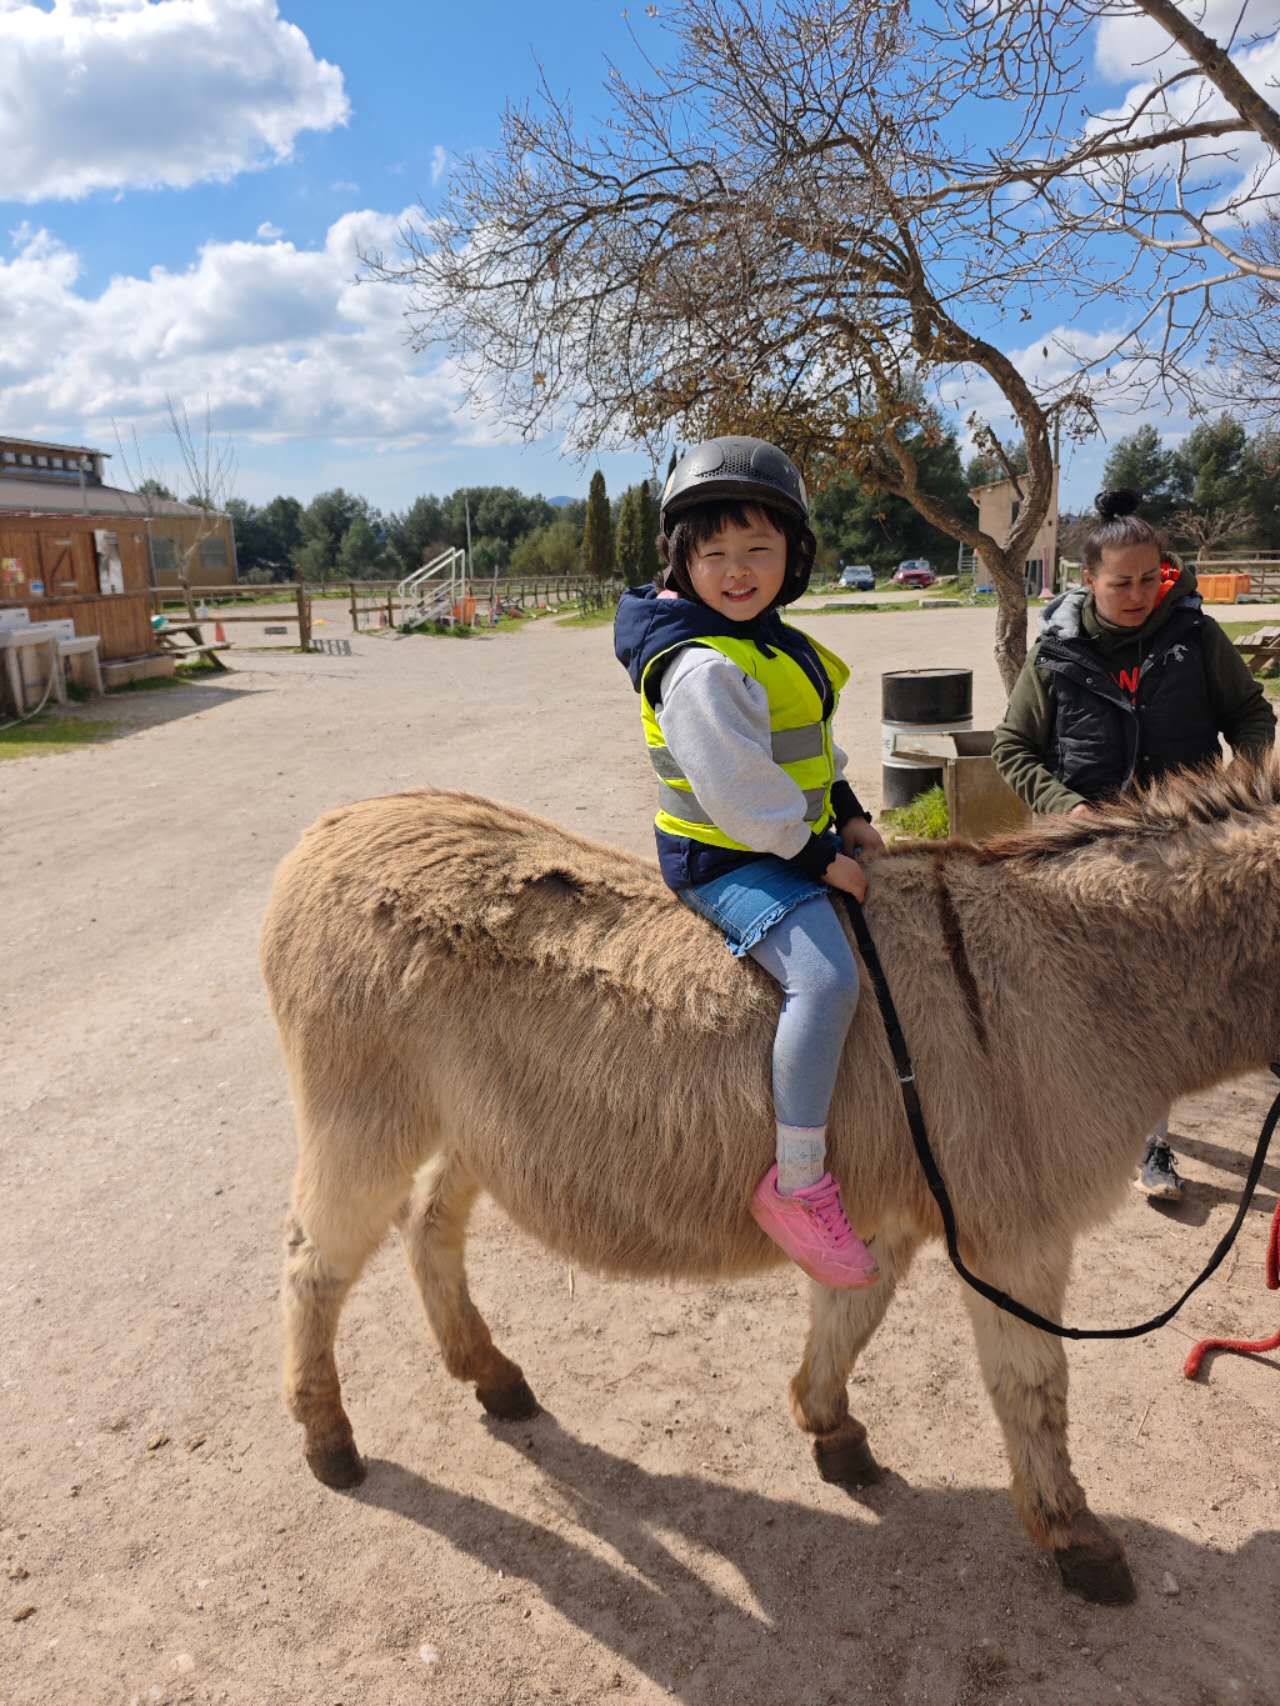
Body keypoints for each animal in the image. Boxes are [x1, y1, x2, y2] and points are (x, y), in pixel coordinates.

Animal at [261, 756, 1280, 1605]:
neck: (1075, 978)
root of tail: (332, 827)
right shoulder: (1015, 1236)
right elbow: (1034, 1387)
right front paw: (1076, 1539)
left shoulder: (893, 1213)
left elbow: (850, 1316)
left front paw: (831, 1431)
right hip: (365, 1118)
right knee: (313, 1265)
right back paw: (328, 1440)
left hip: (465, 1128)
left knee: (429, 1225)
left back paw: (492, 1376)